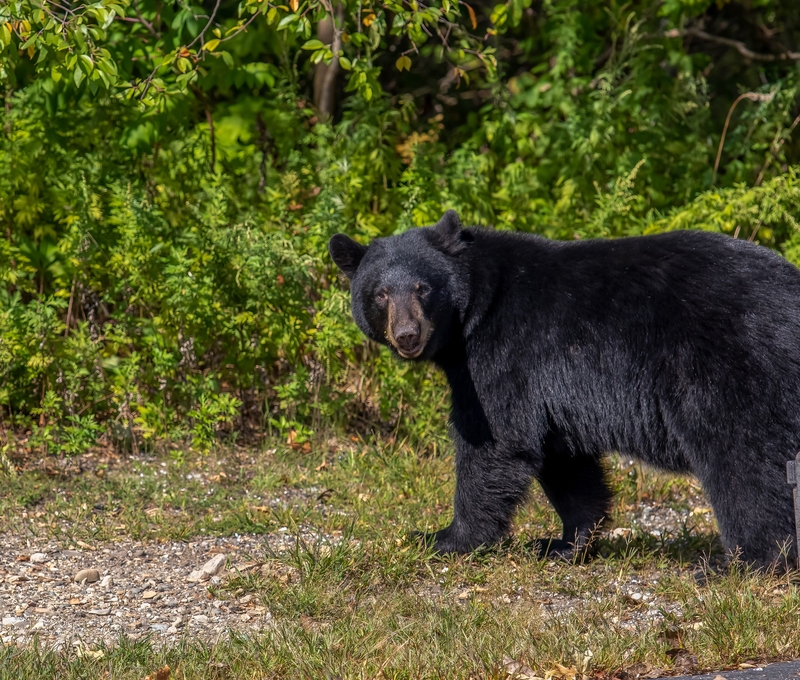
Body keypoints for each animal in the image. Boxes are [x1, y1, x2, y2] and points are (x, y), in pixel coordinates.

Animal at [328, 211, 800, 564]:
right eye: (380, 293)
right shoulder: (549, 389)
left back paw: (744, 561)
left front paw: (445, 537)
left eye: (423, 288)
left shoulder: (507, 353)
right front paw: (563, 544)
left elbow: (495, 440)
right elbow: (565, 462)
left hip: (730, 365)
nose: (408, 335)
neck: (477, 311)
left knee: (740, 458)